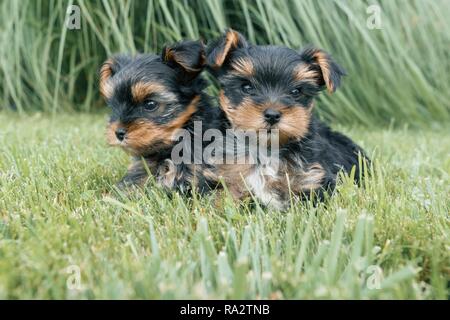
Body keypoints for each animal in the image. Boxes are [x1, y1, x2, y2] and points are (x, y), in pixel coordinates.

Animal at [207, 29, 370, 210]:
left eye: (296, 92)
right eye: (246, 87)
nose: (272, 115)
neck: (266, 149)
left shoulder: (313, 178)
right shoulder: (227, 176)